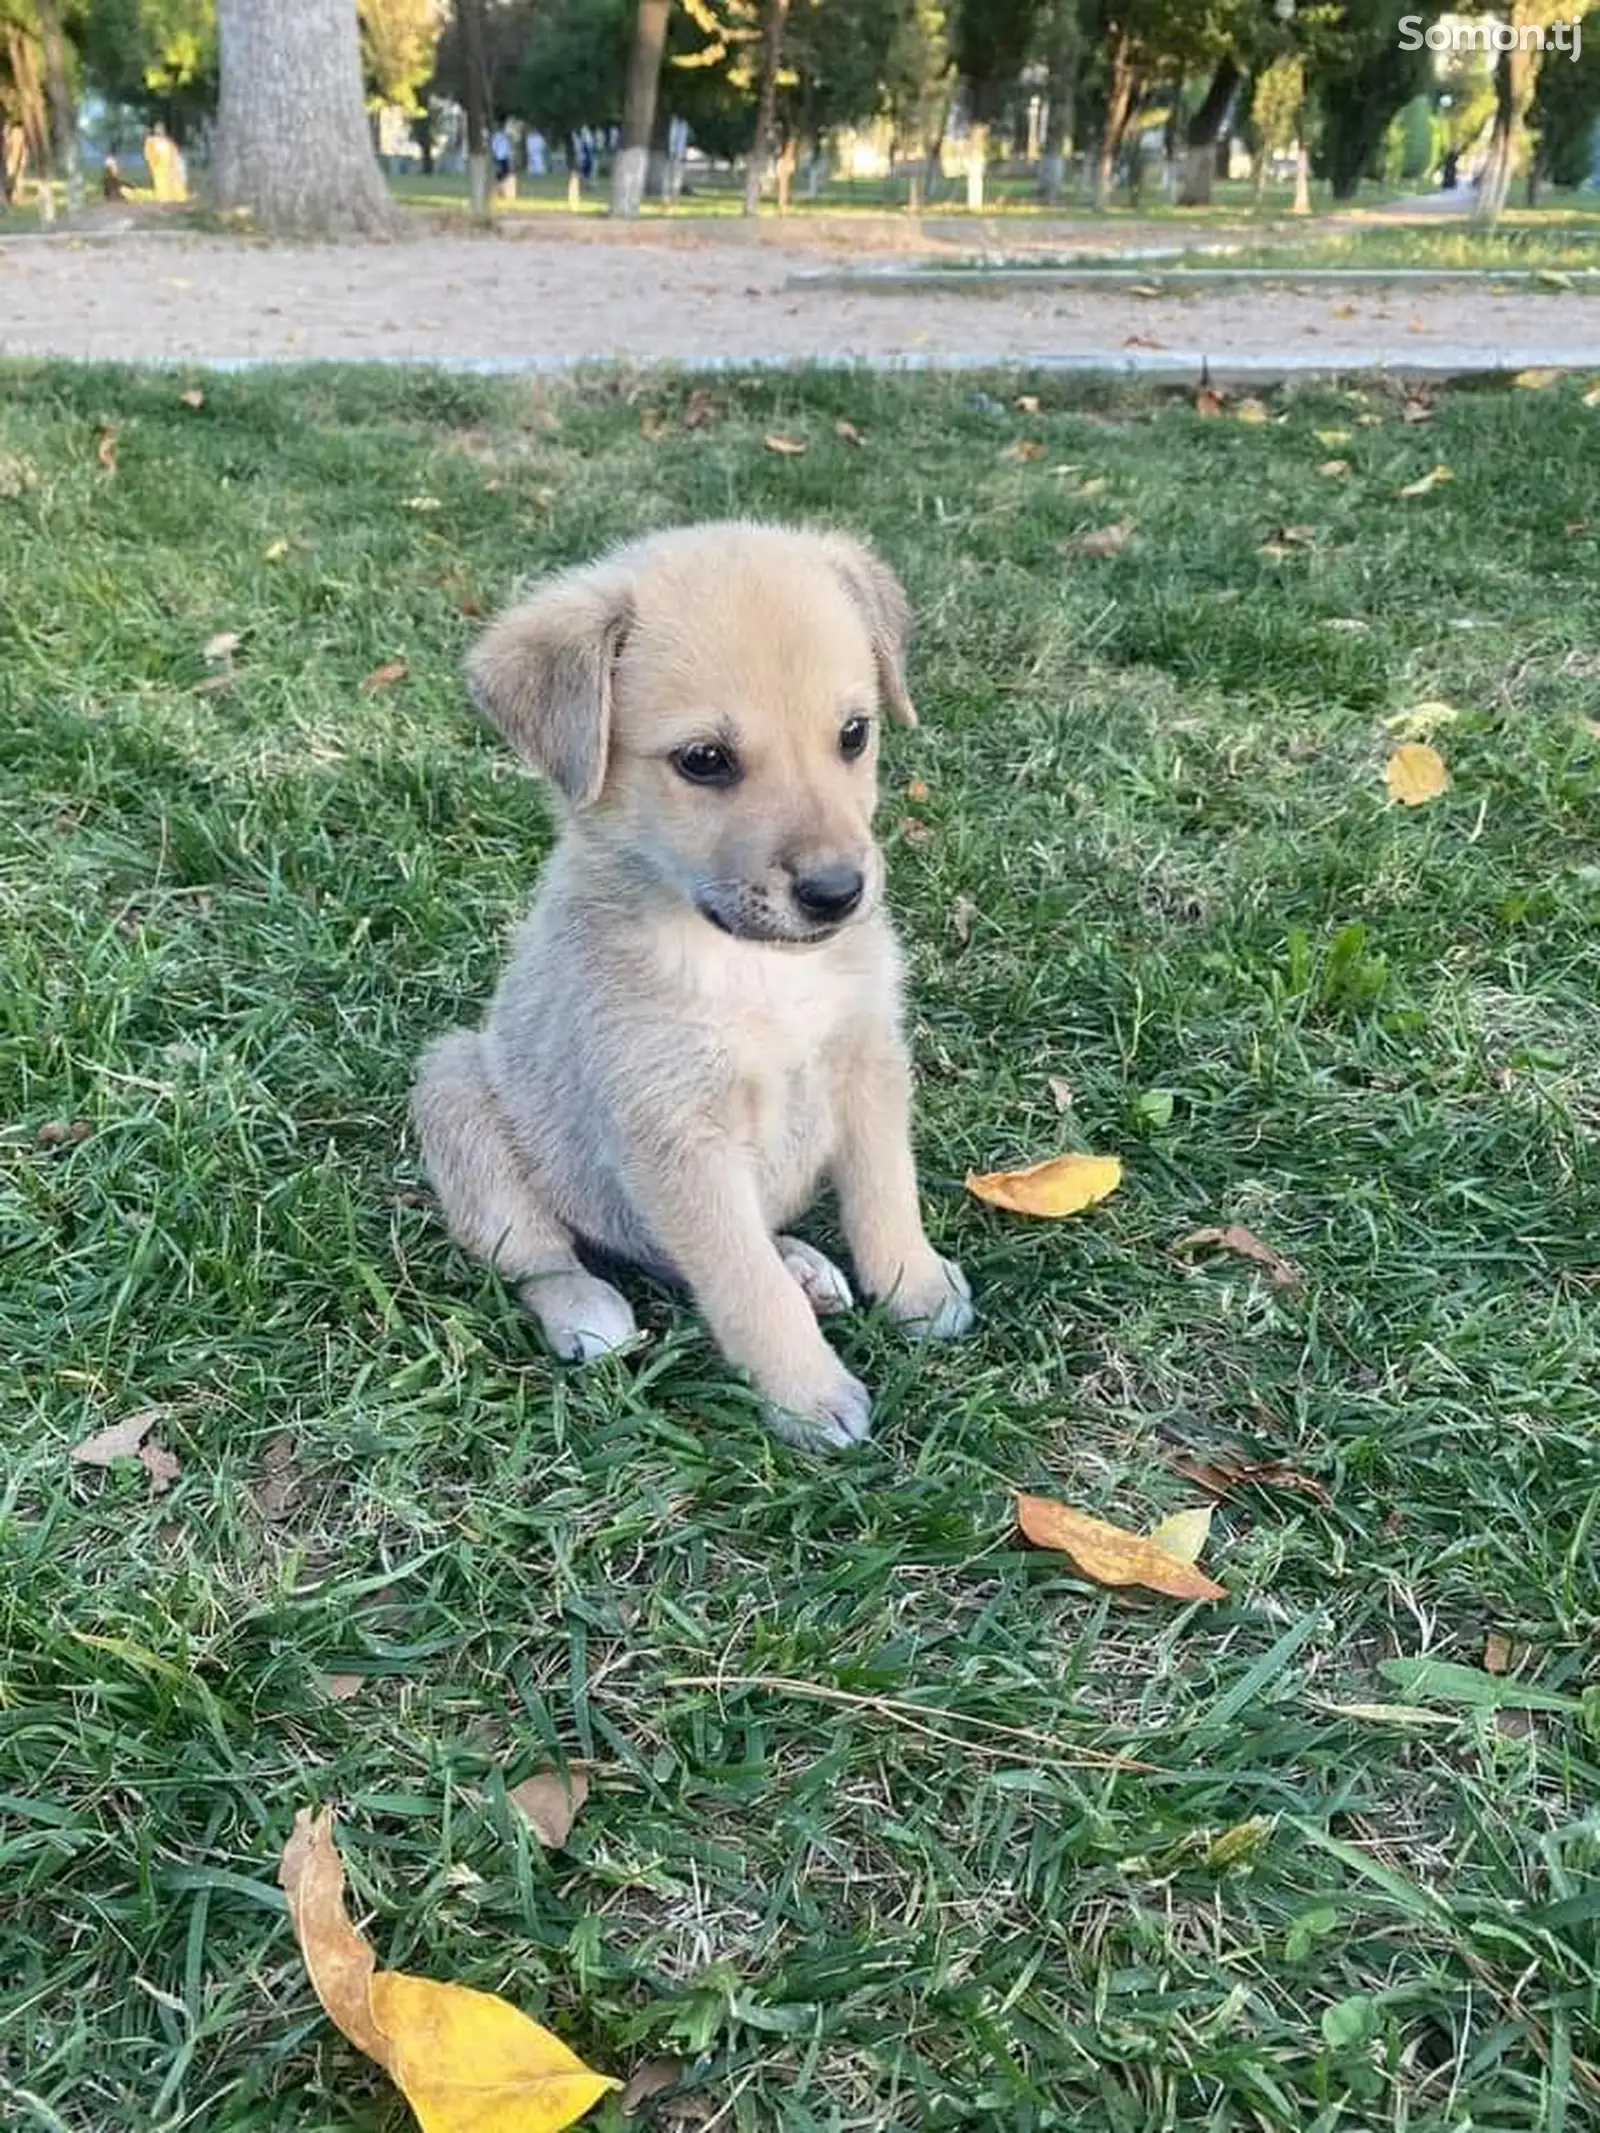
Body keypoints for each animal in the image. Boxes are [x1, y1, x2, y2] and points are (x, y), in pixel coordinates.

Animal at [409, 520, 977, 1450]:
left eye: (854, 733)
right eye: (705, 760)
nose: (837, 893)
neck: (756, 968)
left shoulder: (866, 1065)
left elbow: (887, 1194)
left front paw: (916, 1286)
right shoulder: (675, 1135)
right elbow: (743, 1283)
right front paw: (808, 1394)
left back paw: (805, 1263)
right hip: (457, 1089)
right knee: (542, 1256)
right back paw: (586, 1308)